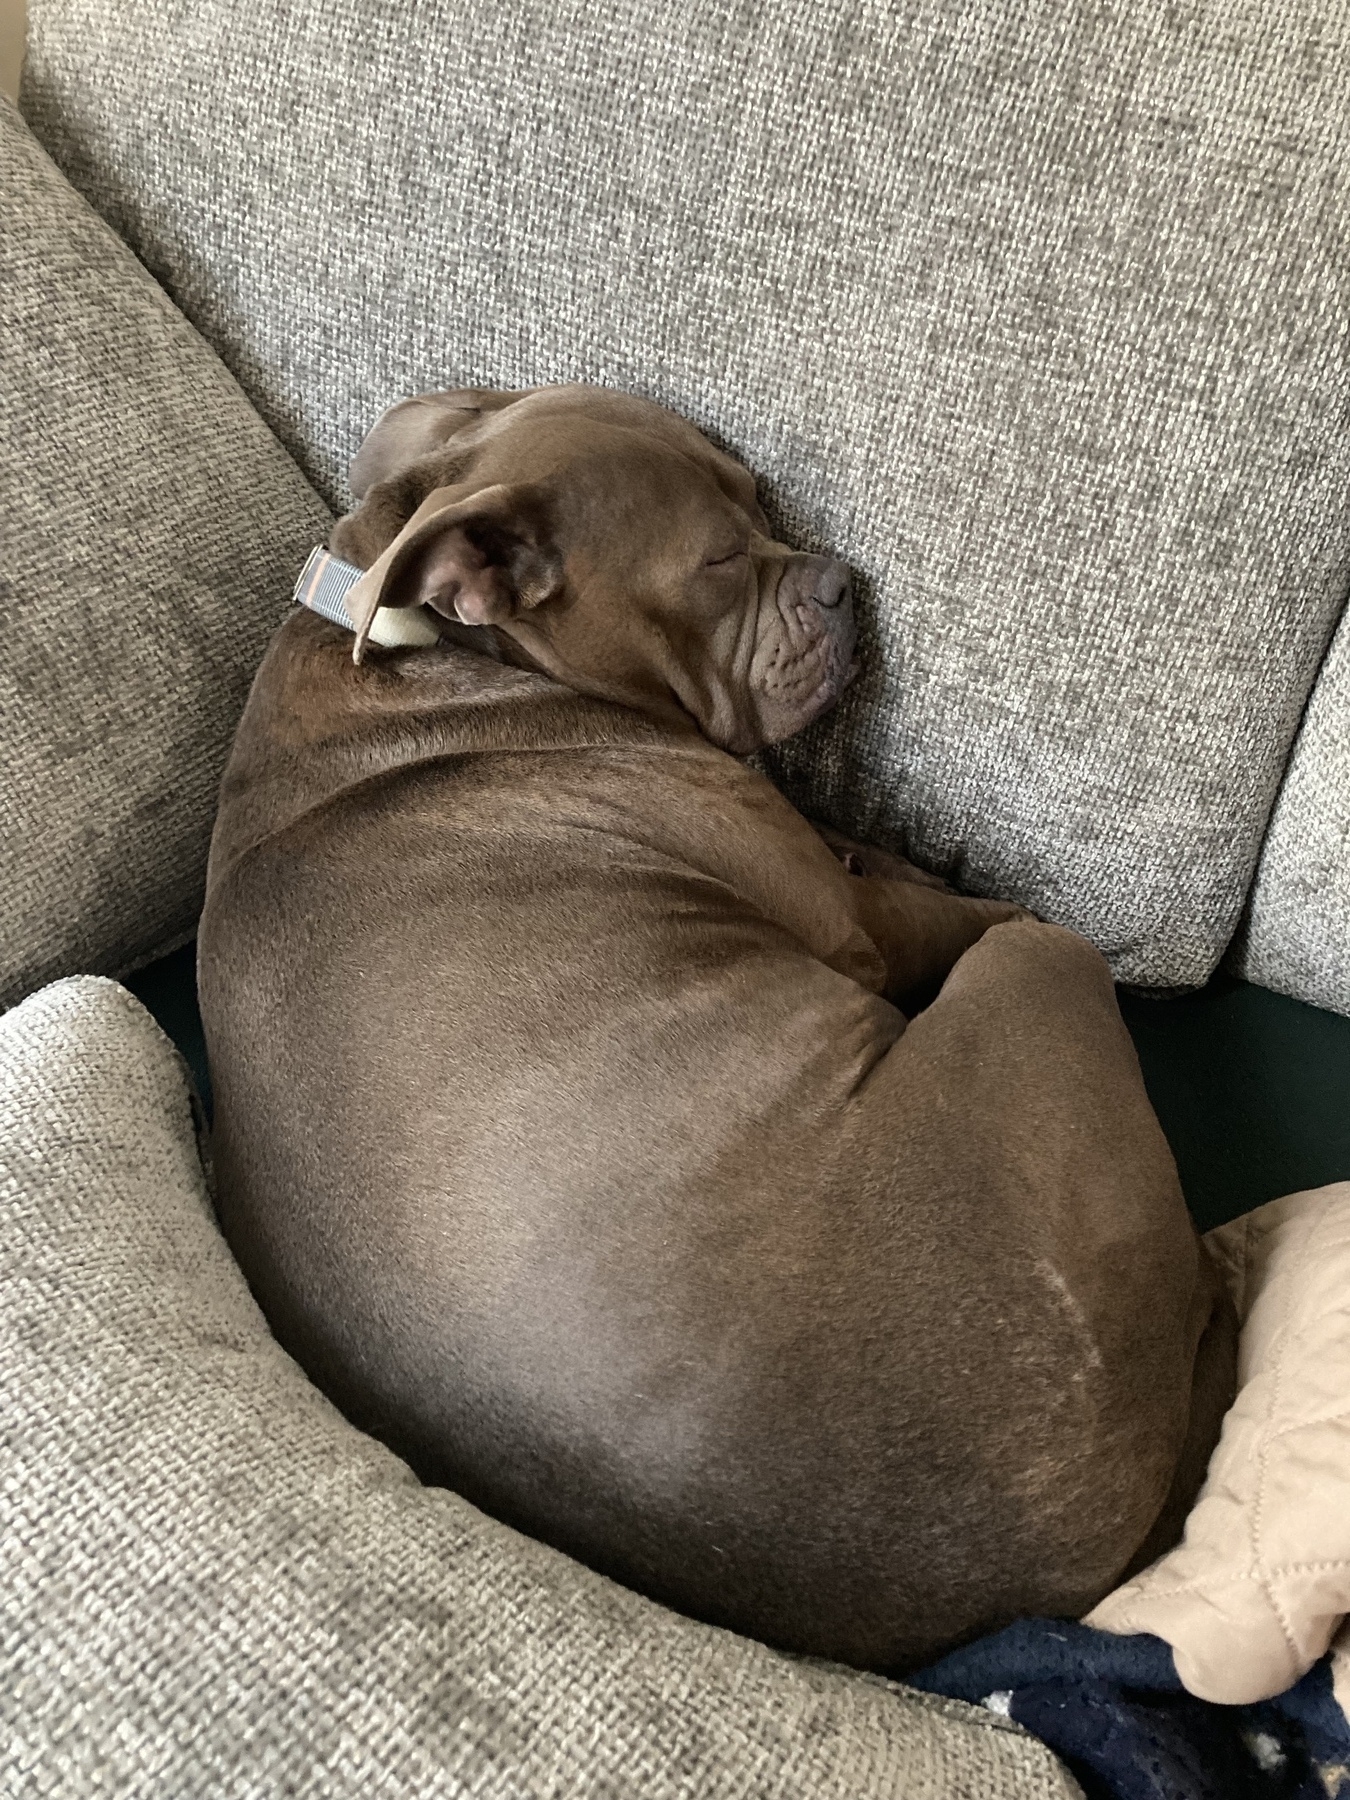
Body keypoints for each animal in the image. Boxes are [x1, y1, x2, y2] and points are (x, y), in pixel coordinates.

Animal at [200, 383, 1238, 1670]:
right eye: (721, 560)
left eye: (763, 500)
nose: (841, 579)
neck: (439, 651)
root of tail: (1058, 1566)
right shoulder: (856, 921)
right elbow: (922, 900)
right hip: (1043, 980)